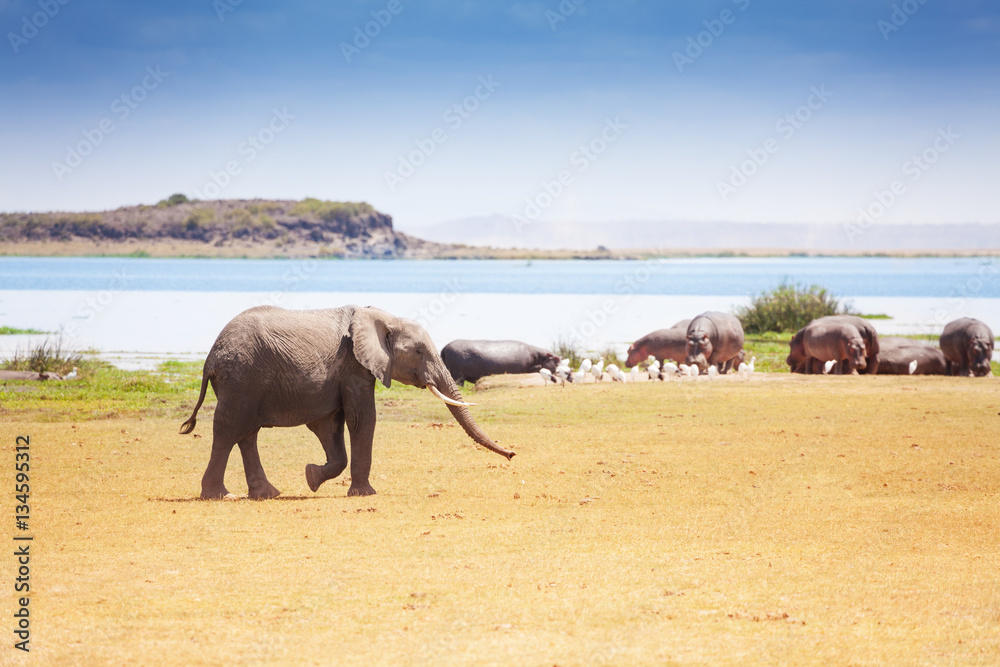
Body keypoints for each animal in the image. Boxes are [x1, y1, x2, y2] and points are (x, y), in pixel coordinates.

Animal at [180, 305, 514, 500]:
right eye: (419, 352)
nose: (512, 454)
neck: (384, 316)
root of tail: (210, 358)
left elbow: (330, 425)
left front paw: (311, 477)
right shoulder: (354, 366)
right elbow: (361, 418)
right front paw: (365, 494)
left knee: (247, 434)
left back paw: (268, 494)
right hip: (241, 378)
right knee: (228, 429)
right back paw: (219, 496)